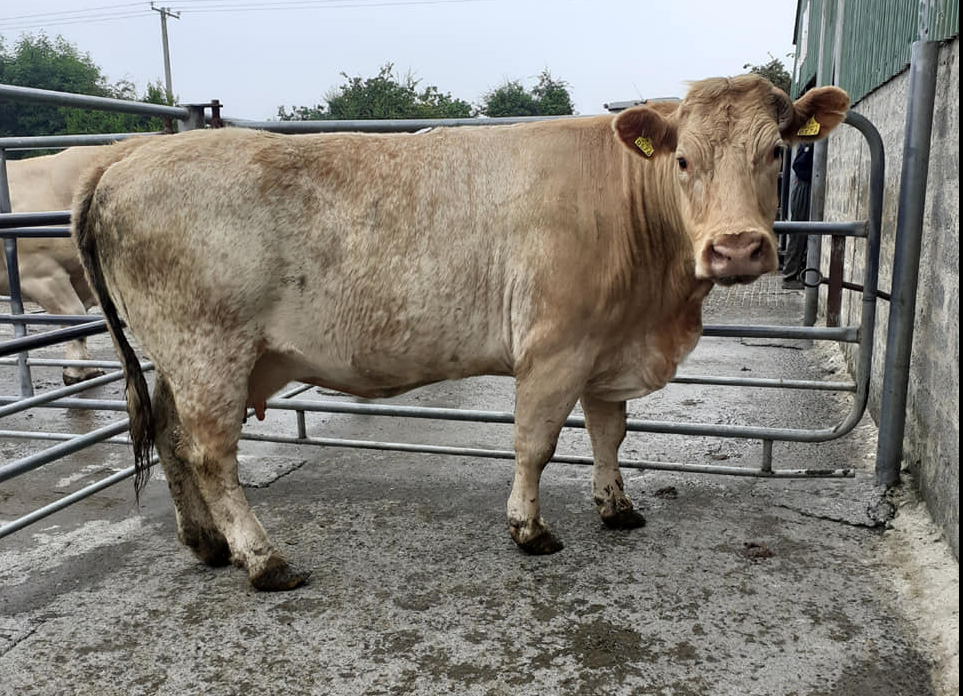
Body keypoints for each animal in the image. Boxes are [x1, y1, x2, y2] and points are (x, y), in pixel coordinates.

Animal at [72, 75, 849, 590]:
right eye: (684, 159)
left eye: (775, 153)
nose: (736, 248)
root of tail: (126, 154)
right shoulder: (555, 347)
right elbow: (535, 444)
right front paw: (529, 530)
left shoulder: (607, 346)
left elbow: (609, 433)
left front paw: (616, 506)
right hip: (208, 350)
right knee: (210, 453)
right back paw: (263, 559)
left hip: (179, 359)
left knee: (167, 435)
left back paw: (204, 543)